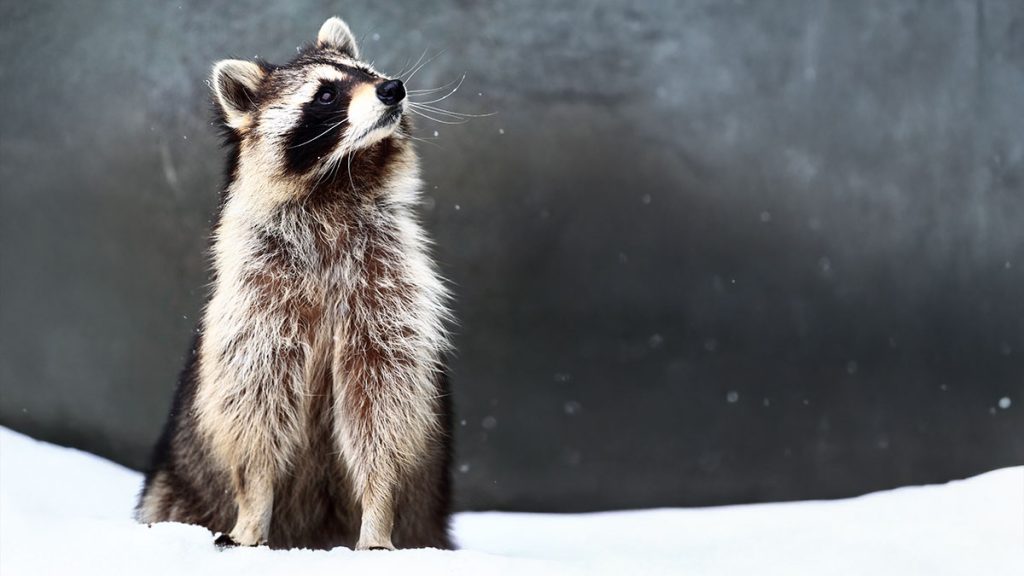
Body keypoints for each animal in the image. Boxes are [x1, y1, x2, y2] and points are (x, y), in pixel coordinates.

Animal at [135, 17, 453, 551]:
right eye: (325, 94)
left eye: (367, 72)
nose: (393, 87)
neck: (340, 179)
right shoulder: (258, 292)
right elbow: (255, 405)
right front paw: (252, 509)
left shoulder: (386, 284)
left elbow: (383, 403)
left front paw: (378, 510)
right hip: (173, 486)